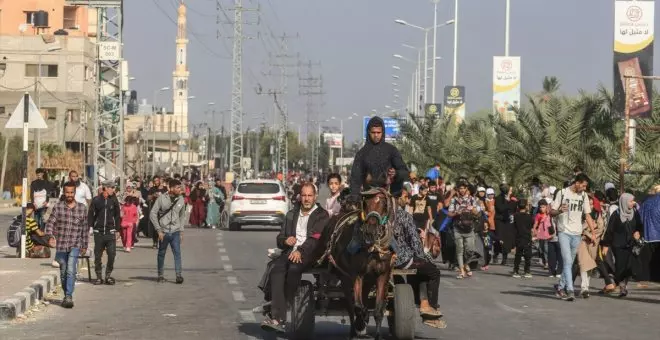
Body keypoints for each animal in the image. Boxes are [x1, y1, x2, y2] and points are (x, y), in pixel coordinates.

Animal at [320, 186, 398, 340]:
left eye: (384, 204)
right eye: (365, 203)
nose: (370, 230)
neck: (372, 248)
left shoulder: (382, 275)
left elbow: (378, 310)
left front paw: (377, 335)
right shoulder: (356, 275)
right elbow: (358, 307)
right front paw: (360, 326)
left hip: (368, 279)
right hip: (345, 277)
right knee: (351, 307)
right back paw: (354, 330)